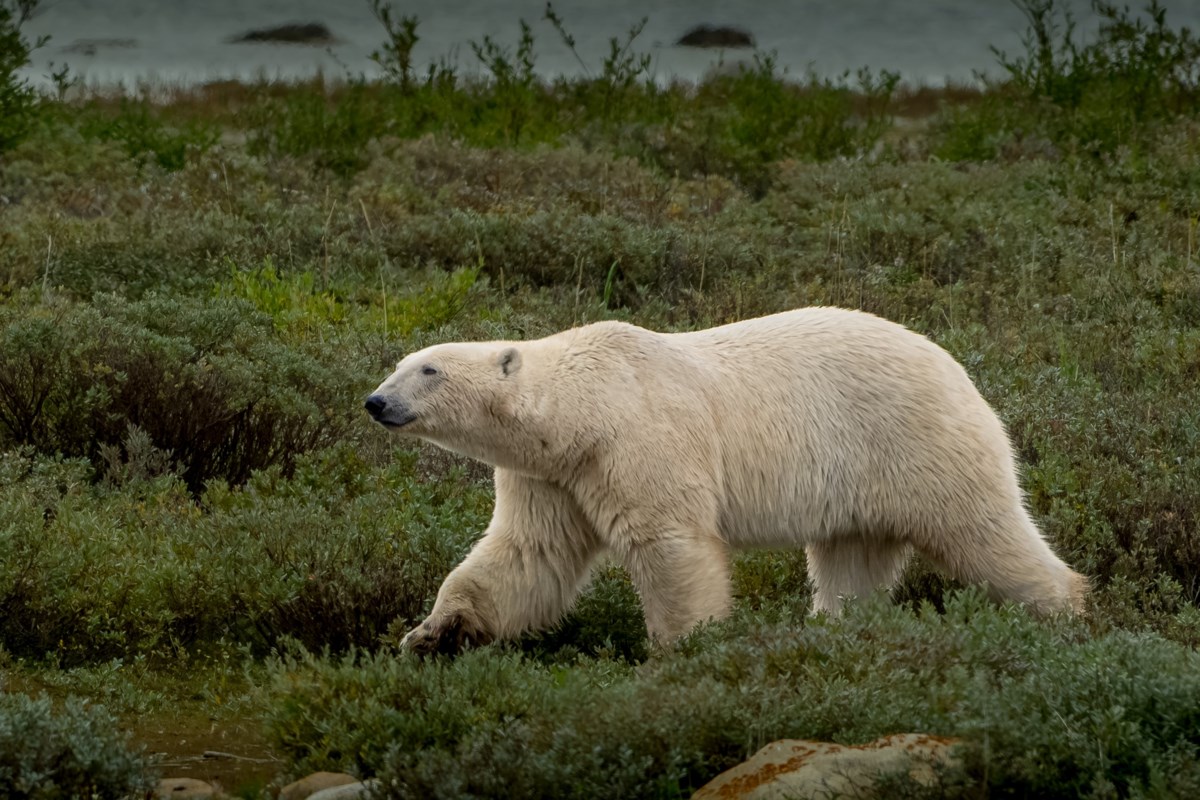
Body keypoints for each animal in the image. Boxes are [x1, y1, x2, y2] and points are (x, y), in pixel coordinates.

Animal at [364, 307, 1088, 655]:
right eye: (399, 363)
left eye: (428, 369)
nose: (375, 401)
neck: (586, 408)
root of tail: (956, 365)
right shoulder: (551, 477)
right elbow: (525, 556)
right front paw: (431, 635)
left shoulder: (640, 439)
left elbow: (670, 543)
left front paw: (684, 650)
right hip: (858, 485)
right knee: (851, 562)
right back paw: (834, 630)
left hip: (917, 442)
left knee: (984, 532)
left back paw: (1067, 610)